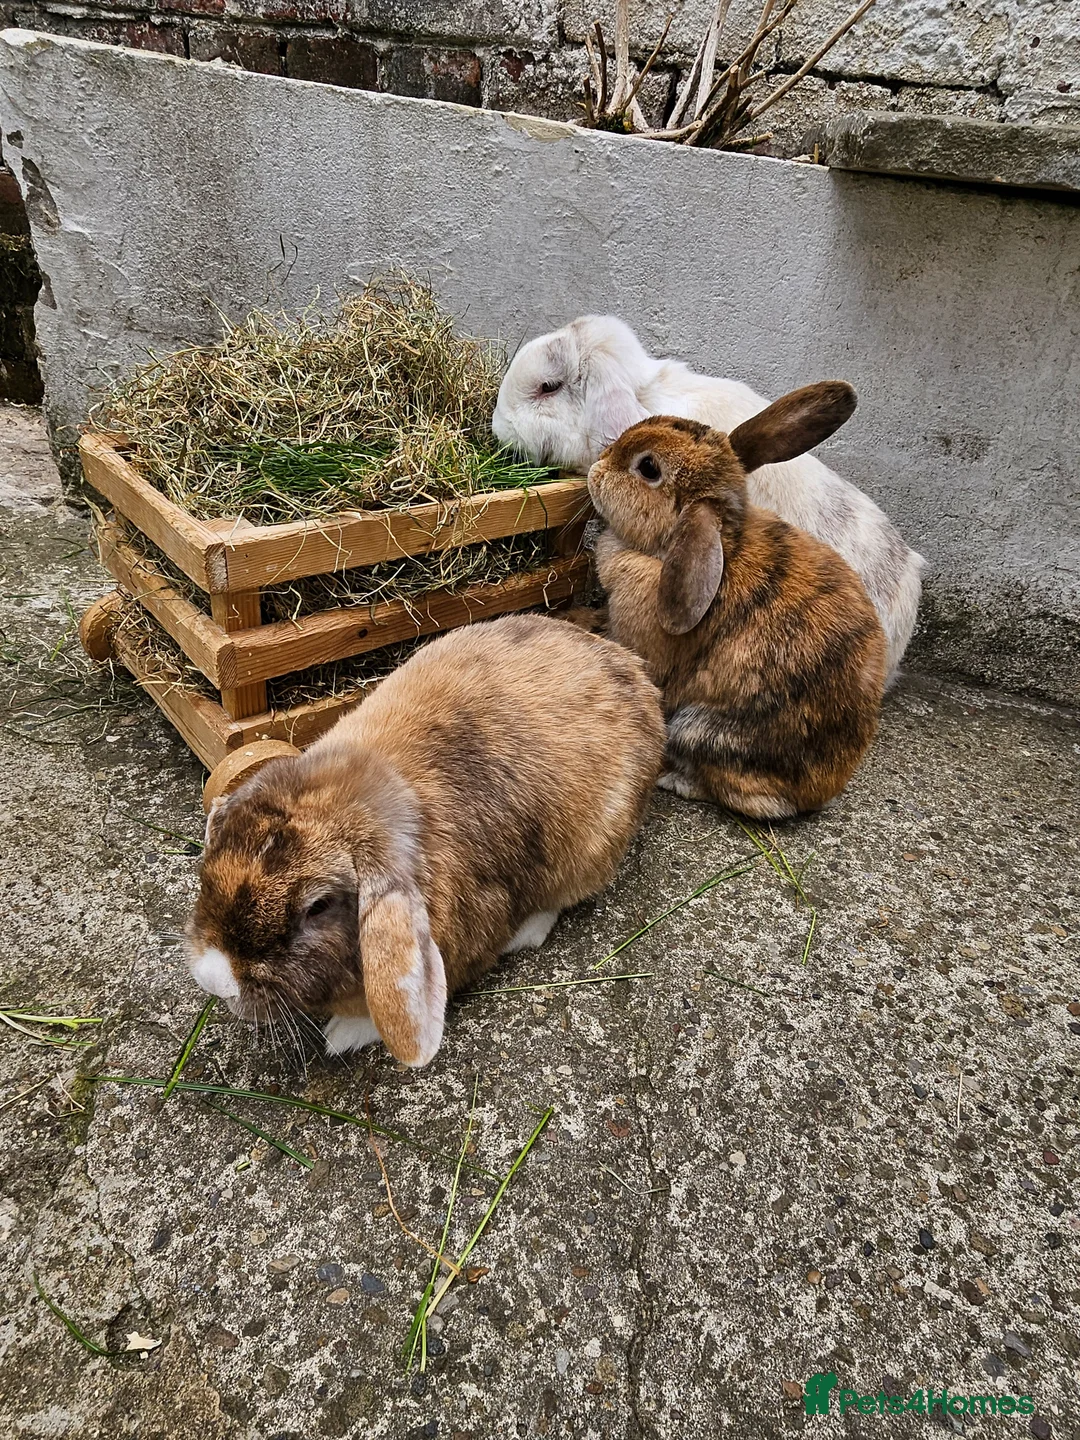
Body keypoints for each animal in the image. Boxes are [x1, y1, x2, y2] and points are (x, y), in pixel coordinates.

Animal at [586, 383, 887, 819]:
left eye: (649, 469)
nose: (597, 465)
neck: (667, 546)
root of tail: (820, 790)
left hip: (699, 731)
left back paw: (676, 780)